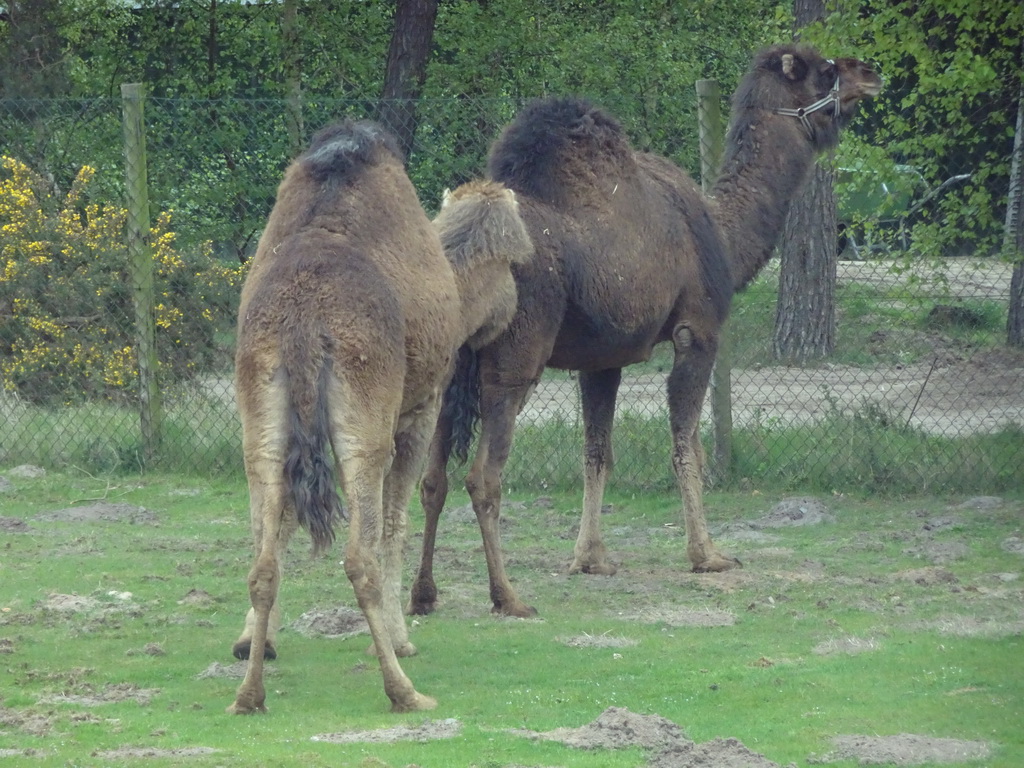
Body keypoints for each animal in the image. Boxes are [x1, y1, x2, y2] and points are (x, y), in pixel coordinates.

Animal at [229, 120, 532, 716]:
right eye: (515, 263)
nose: (513, 313)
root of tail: (303, 322)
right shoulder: (418, 410)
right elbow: (398, 521)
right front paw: (401, 635)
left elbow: (280, 526)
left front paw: (256, 639)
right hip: (363, 420)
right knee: (359, 556)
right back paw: (403, 689)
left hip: (260, 414)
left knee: (262, 555)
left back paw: (249, 695)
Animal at [411, 43, 884, 618]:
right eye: (826, 71)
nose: (873, 74)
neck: (722, 237)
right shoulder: (697, 332)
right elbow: (687, 447)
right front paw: (708, 555)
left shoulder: (603, 356)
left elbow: (597, 453)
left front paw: (591, 558)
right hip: (512, 363)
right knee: (483, 476)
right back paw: (508, 597)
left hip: (448, 364)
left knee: (432, 477)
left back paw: (424, 594)